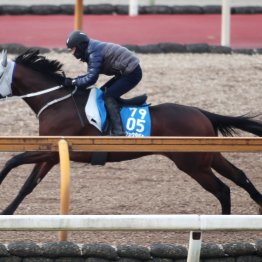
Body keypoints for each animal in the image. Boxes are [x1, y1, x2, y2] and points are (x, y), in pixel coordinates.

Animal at [0, 48, 260, 215]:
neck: (57, 101)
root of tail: (201, 112)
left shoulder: (57, 150)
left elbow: (14, 160)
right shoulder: (53, 153)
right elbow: (28, 184)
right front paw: (8, 211)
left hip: (193, 164)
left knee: (222, 190)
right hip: (208, 157)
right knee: (238, 177)